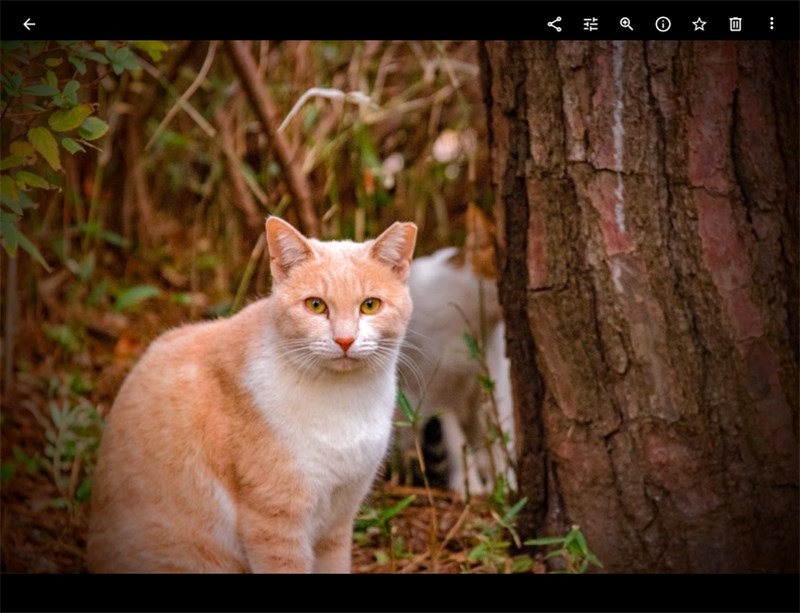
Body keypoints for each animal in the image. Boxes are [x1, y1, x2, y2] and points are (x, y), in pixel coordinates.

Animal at [87, 214, 418, 568]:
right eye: (316, 305)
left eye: (370, 306)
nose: (345, 340)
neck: (344, 401)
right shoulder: (275, 523)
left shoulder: (338, 521)